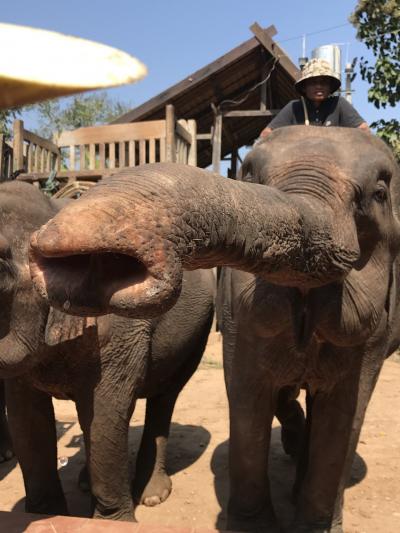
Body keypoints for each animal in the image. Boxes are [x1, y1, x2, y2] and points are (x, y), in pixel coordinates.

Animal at [0, 180, 216, 520]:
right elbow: (28, 420)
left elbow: (105, 412)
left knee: (165, 397)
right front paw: (41, 515)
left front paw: (113, 521)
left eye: (0, 263)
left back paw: (151, 495)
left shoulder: (120, 326)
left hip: (199, 331)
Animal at [30, 125, 400, 532]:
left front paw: (313, 526)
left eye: (380, 195)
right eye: (250, 177)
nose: (55, 248)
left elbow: (344, 410)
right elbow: (248, 393)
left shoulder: (377, 331)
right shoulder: (238, 319)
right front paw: (254, 526)